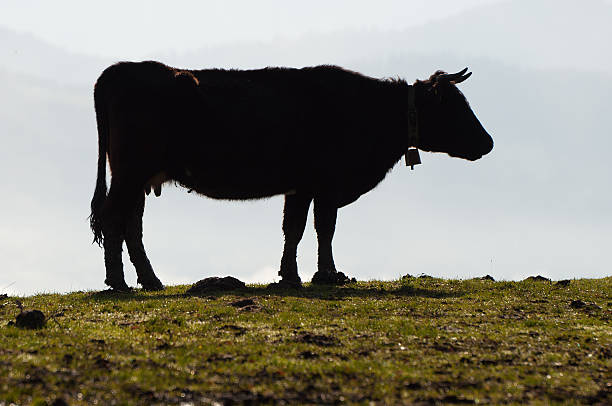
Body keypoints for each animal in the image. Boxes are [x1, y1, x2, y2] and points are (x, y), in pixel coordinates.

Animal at [89, 61, 492, 292]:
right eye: (454, 106)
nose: (487, 143)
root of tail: (117, 70)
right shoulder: (327, 183)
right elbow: (324, 228)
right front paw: (326, 274)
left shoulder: (301, 186)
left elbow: (294, 228)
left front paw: (290, 275)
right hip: (131, 172)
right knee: (114, 218)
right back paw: (120, 282)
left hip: (136, 177)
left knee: (131, 224)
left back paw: (148, 280)